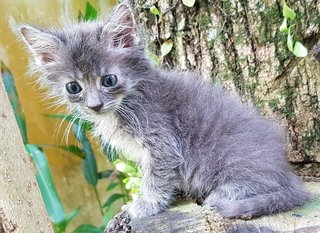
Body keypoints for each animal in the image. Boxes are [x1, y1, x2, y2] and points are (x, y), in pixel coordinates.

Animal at [18, 3, 310, 218]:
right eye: (73, 87)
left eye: (109, 80)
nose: (95, 105)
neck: (130, 101)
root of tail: (288, 173)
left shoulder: (162, 143)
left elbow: (155, 178)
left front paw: (145, 205)